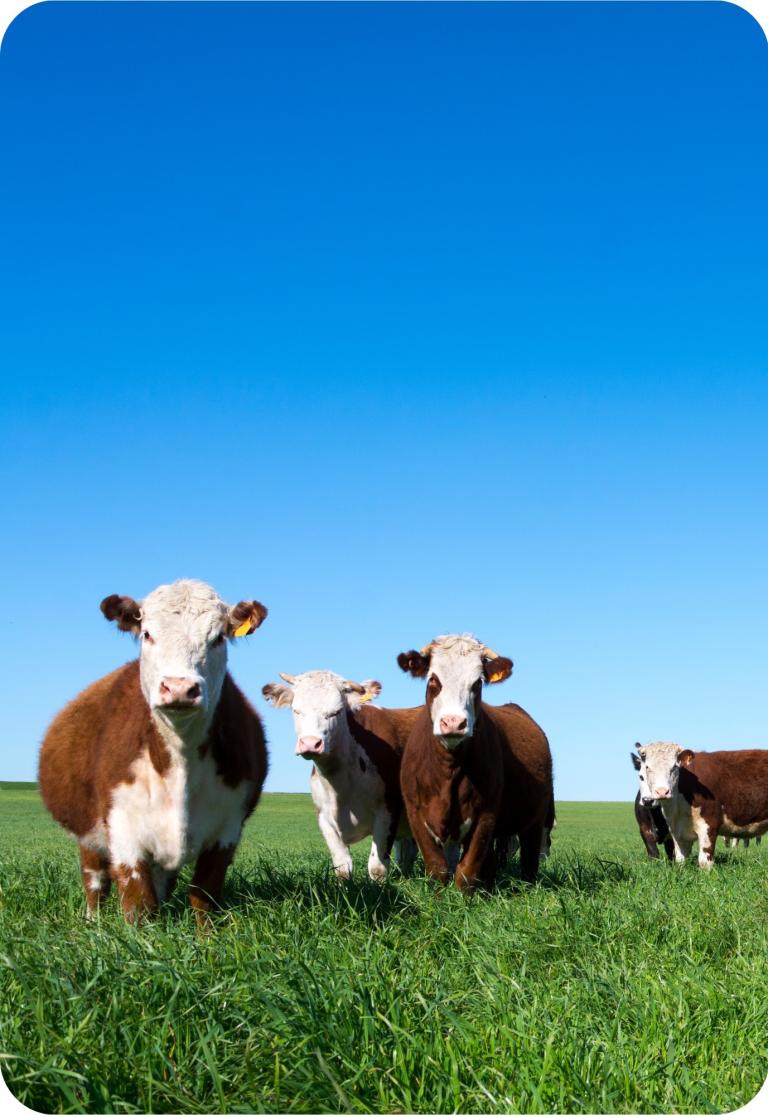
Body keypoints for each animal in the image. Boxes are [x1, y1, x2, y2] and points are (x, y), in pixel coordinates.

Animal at [38, 579, 268, 923]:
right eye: (147, 633)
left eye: (218, 637)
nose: (179, 688)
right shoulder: (123, 829)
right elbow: (139, 906)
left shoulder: (227, 827)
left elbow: (204, 897)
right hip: (88, 835)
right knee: (95, 882)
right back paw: (93, 923)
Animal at [262, 671, 420, 880]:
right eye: (296, 710)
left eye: (336, 711)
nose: (310, 743)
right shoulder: (324, 817)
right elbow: (342, 867)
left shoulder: (387, 812)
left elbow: (377, 868)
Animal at [397, 635, 554, 892]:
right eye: (433, 679)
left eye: (477, 684)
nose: (453, 722)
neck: (447, 770)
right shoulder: (416, 813)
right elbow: (438, 868)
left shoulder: (485, 816)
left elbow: (467, 871)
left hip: (535, 820)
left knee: (529, 861)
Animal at [634, 740, 768, 869]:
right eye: (647, 767)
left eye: (674, 766)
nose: (662, 791)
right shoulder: (677, 831)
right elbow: (680, 861)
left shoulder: (709, 824)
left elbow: (704, 862)